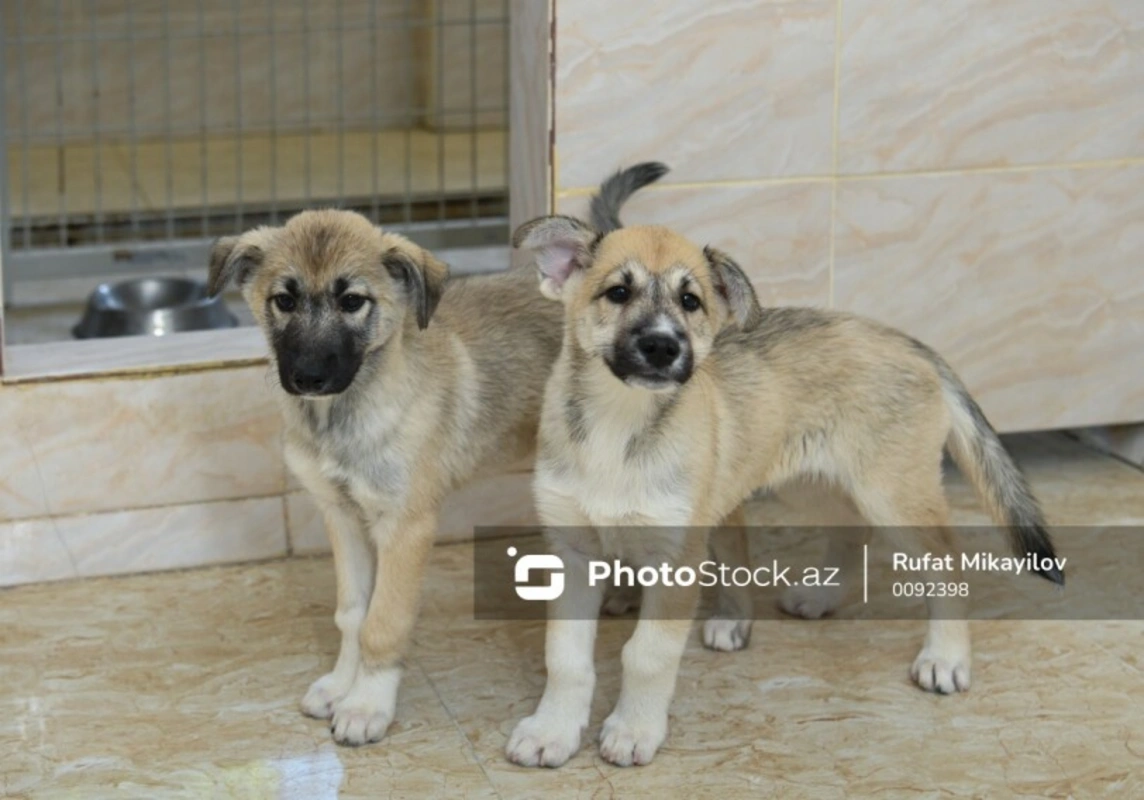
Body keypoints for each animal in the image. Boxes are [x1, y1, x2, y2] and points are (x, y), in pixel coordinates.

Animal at [201, 167, 658, 746]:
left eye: (353, 302)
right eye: (284, 300)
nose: (307, 377)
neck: (345, 416)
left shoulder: (406, 526)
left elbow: (383, 623)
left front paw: (367, 705)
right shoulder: (341, 516)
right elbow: (353, 613)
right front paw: (341, 685)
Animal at [507, 162, 1061, 769]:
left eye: (691, 302)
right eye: (618, 292)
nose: (662, 347)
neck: (618, 423)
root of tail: (910, 344)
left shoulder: (676, 558)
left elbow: (647, 655)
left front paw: (633, 730)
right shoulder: (573, 551)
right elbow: (566, 658)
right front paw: (552, 731)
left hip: (892, 492)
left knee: (947, 563)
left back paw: (946, 658)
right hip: (808, 482)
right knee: (850, 531)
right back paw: (820, 598)